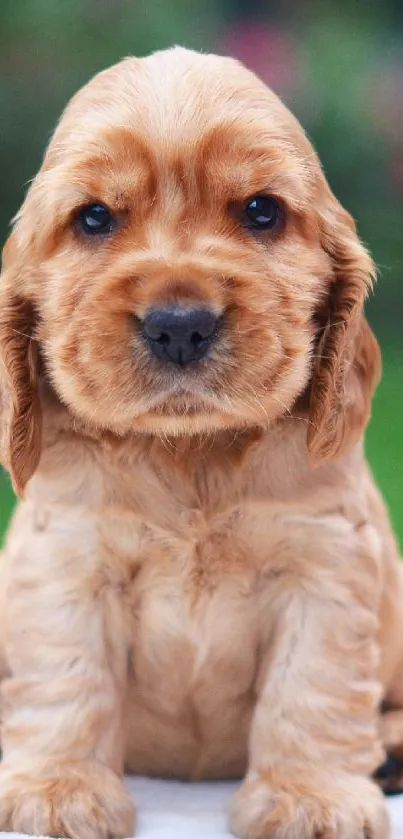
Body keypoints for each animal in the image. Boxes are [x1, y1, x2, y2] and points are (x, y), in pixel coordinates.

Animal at [0, 46, 403, 839]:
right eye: (94, 217)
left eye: (260, 211)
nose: (179, 324)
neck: (189, 451)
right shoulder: (67, 562)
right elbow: (67, 678)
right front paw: (59, 788)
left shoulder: (324, 564)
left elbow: (311, 685)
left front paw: (310, 796)